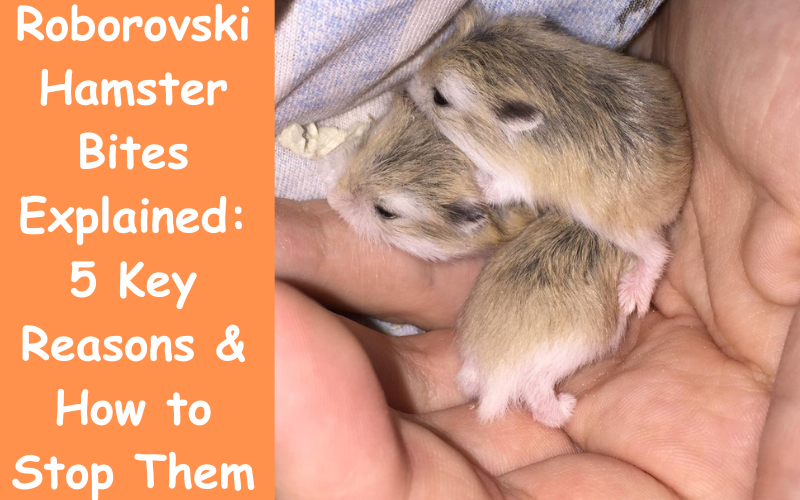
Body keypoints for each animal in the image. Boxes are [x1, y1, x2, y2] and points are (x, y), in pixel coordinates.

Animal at [407, 7, 692, 317]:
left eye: (440, 98)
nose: (408, 84)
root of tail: (683, 181)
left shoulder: (518, 179)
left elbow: (494, 189)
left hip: (620, 228)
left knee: (658, 252)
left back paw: (631, 296)